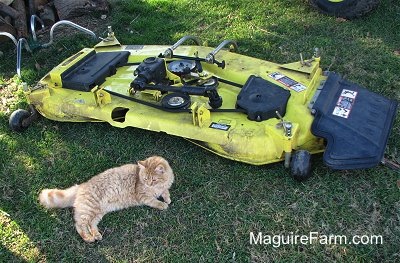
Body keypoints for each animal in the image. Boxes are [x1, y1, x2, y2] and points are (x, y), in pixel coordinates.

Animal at [38, 156, 173, 244]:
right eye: (145, 179)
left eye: (153, 179)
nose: (149, 184)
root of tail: (81, 186)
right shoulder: (143, 196)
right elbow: (154, 201)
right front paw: (163, 204)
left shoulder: (163, 188)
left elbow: (166, 191)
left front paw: (167, 199)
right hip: (89, 209)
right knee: (80, 225)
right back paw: (89, 238)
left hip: (98, 212)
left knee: (90, 224)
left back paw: (96, 235)